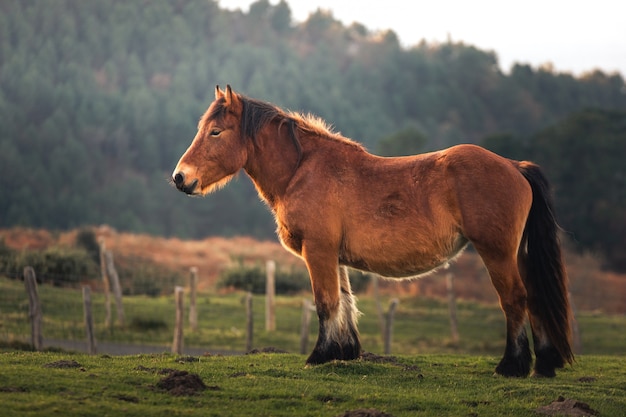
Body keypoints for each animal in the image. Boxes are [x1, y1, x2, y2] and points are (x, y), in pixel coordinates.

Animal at [173, 84, 572, 376]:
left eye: (215, 132)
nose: (180, 178)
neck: (302, 169)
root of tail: (514, 166)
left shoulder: (318, 251)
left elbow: (326, 302)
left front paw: (319, 356)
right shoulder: (334, 257)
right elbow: (345, 303)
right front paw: (345, 352)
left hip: (497, 253)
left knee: (515, 299)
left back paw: (512, 366)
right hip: (517, 255)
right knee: (534, 298)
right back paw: (544, 364)